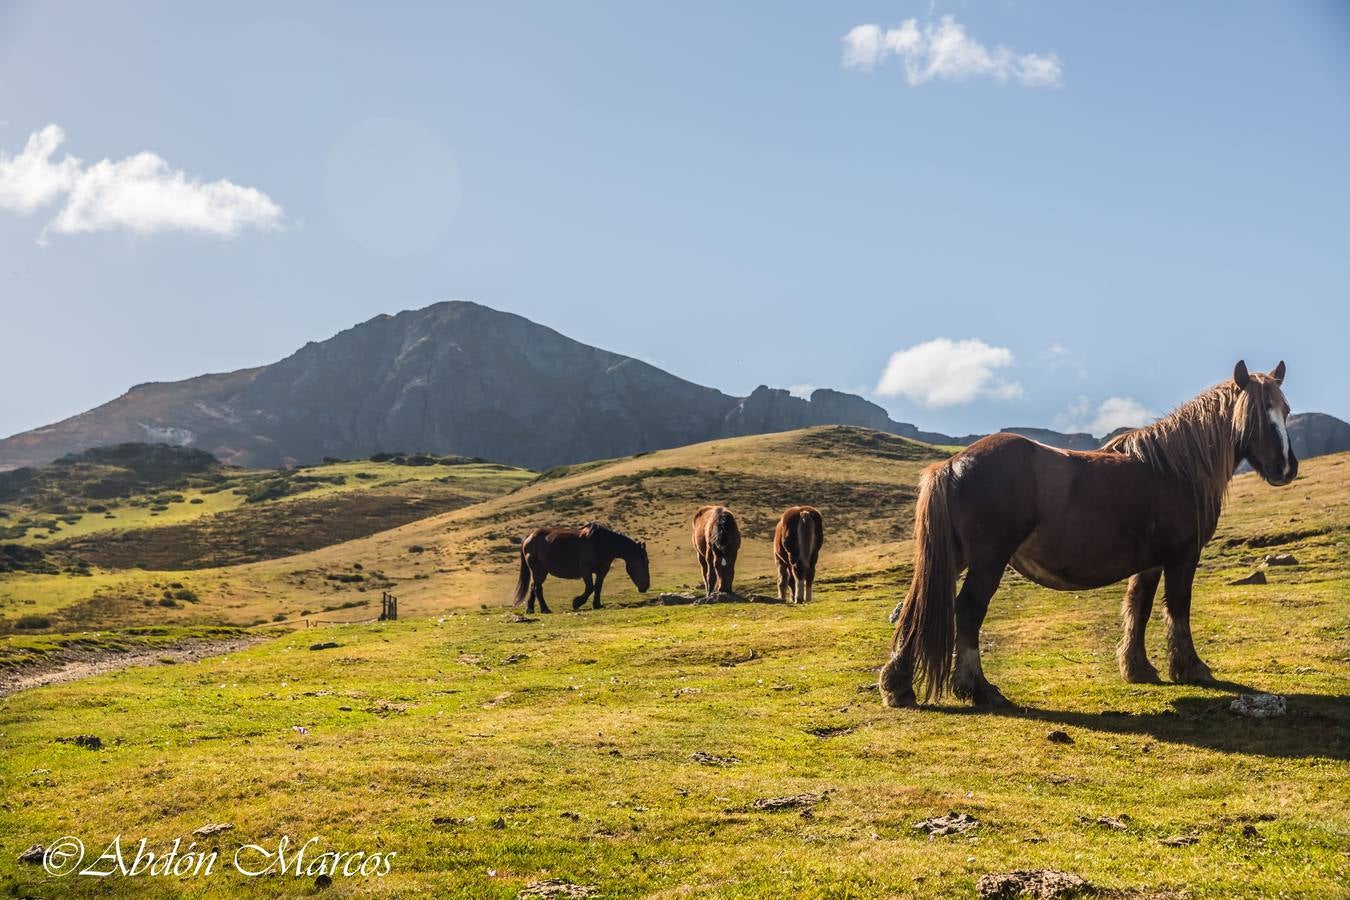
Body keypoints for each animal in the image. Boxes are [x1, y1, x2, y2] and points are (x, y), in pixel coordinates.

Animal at [510, 523, 648, 615]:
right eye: (644, 562)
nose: (645, 587)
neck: (601, 543)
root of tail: (528, 537)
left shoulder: (602, 571)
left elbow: (598, 587)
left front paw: (597, 605)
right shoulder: (585, 570)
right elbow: (590, 587)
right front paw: (576, 602)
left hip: (541, 571)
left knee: (534, 587)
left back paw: (530, 609)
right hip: (538, 570)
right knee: (537, 588)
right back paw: (545, 609)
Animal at [880, 361, 1301, 707]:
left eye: (1285, 411)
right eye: (1256, 414)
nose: (1287, 468)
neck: (1174, 469)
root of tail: (951, 465)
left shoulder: (1150, 563)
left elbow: (1139, 608)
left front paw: (1138, 668)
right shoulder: (1182, 556)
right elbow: (1178, 608)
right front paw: (1191, 668)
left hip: (954, 557)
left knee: (915, 606)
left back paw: (898, 686)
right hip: (987, 560)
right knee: (967, 610)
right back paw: (977, 688)